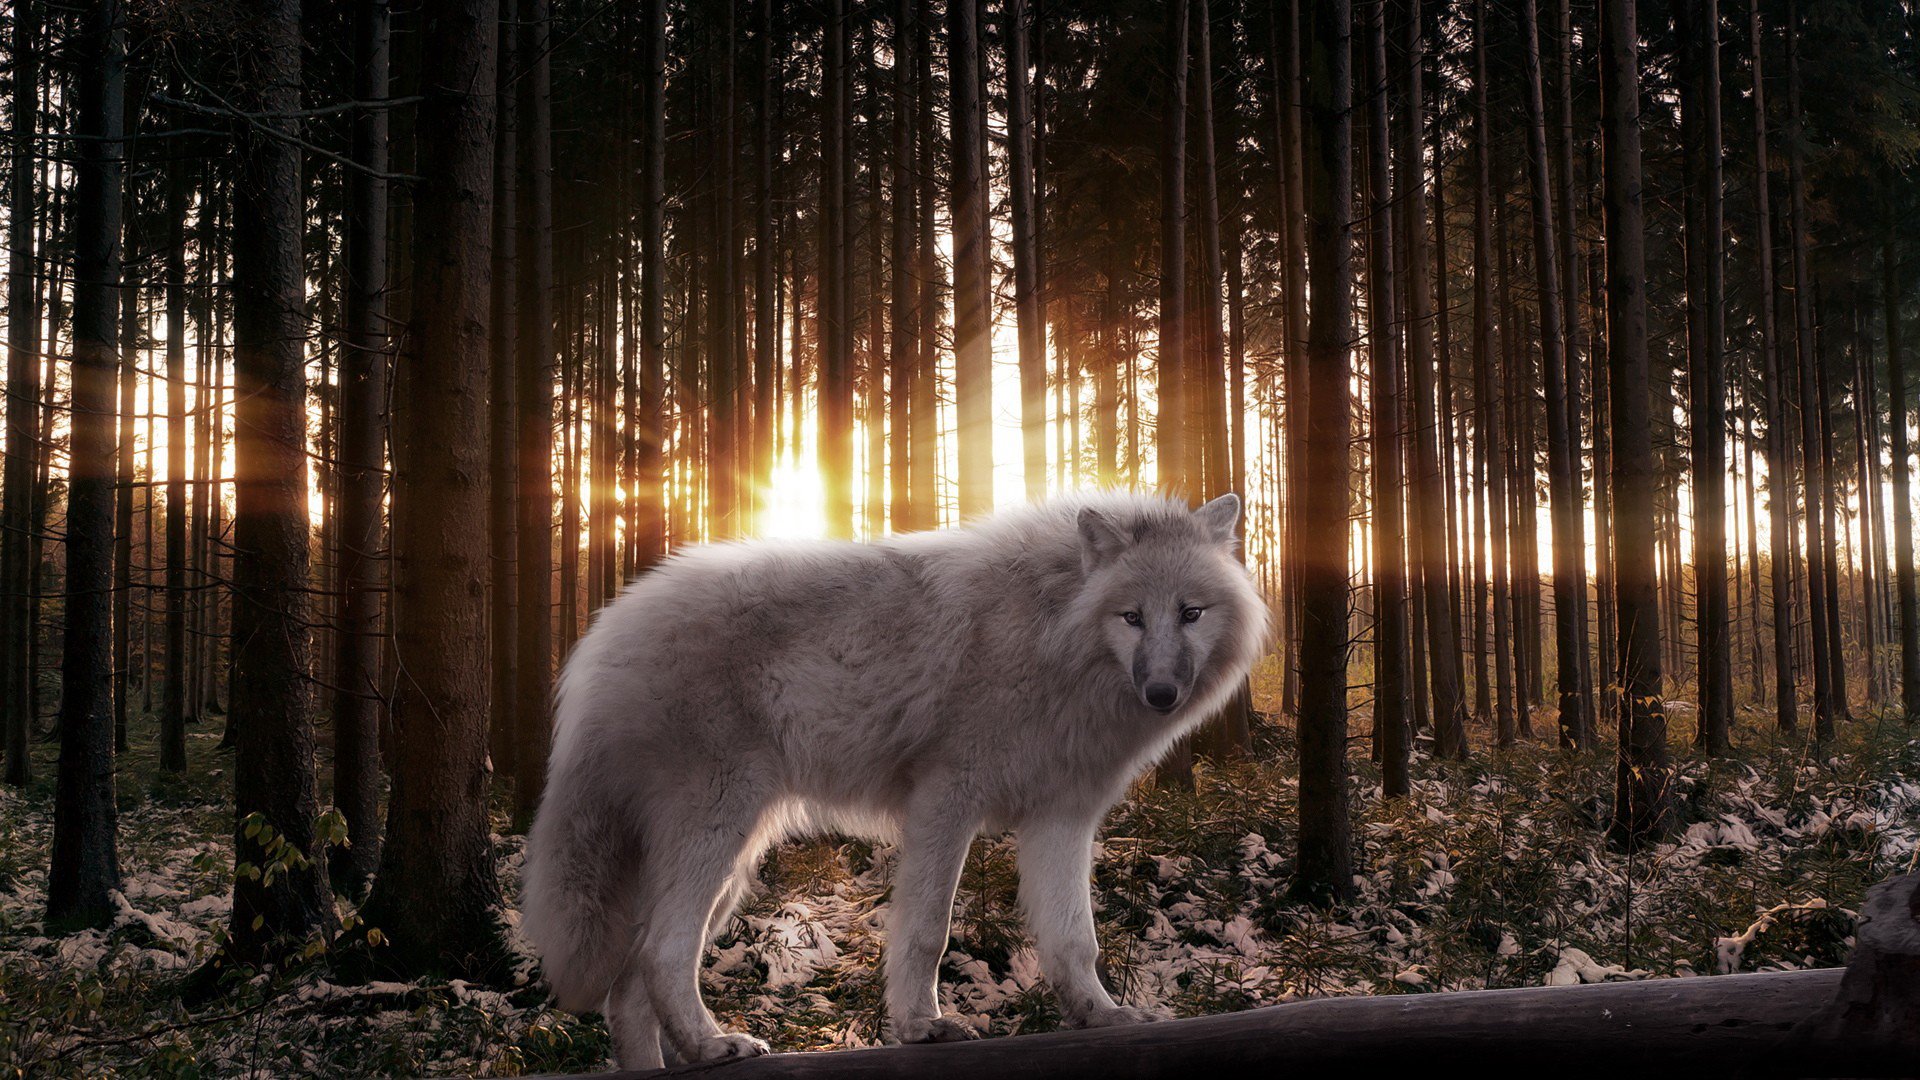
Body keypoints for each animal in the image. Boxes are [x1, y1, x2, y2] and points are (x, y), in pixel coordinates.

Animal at [519, 490, 1269, 1068]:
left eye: (1191, 613)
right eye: (1132, 617)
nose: (1163, 693)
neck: (1050, 633)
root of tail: (604, 633)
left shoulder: (1062, 818)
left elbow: (1073, 941)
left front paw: (1102, 1015)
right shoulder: (945, 801)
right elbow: (927, 932)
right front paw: (921, 1027)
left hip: (732, 861)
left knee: (627, 988)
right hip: (719, 833)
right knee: (662, 952)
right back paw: (712, 1046)